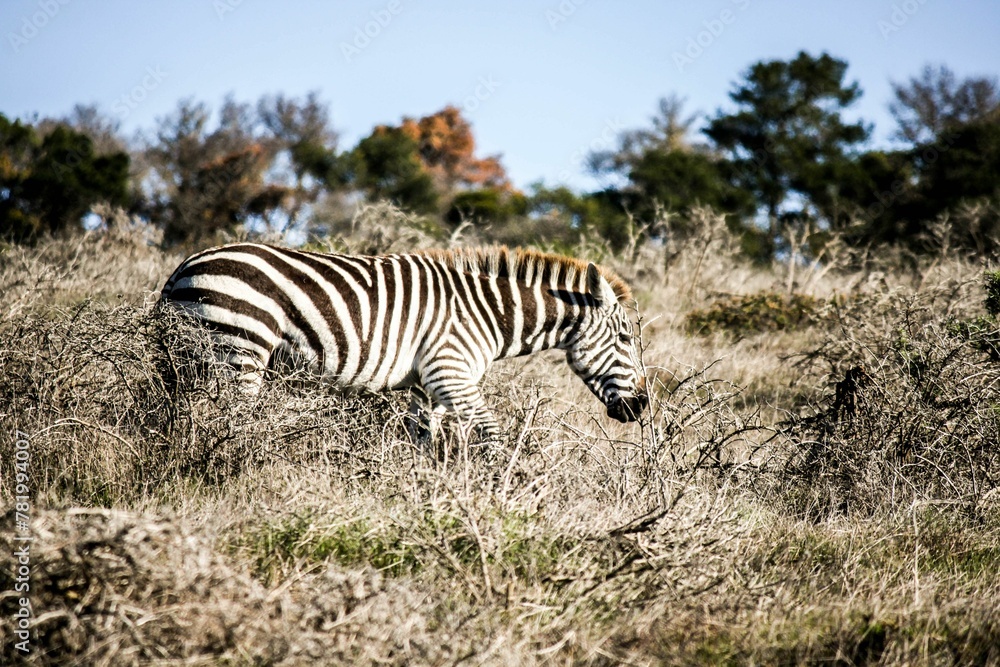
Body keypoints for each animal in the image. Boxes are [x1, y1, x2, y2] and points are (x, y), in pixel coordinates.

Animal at [159, 243, 648, 442]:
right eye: (626, 338)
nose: (641, 408)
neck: (487, 314)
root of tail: (184, 266)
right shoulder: (452, 373)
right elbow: (492, 433)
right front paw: (511, 488)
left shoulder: (426, 386)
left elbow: (422, 439)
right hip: (240, 350)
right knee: (232, 421)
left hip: (188, 358)